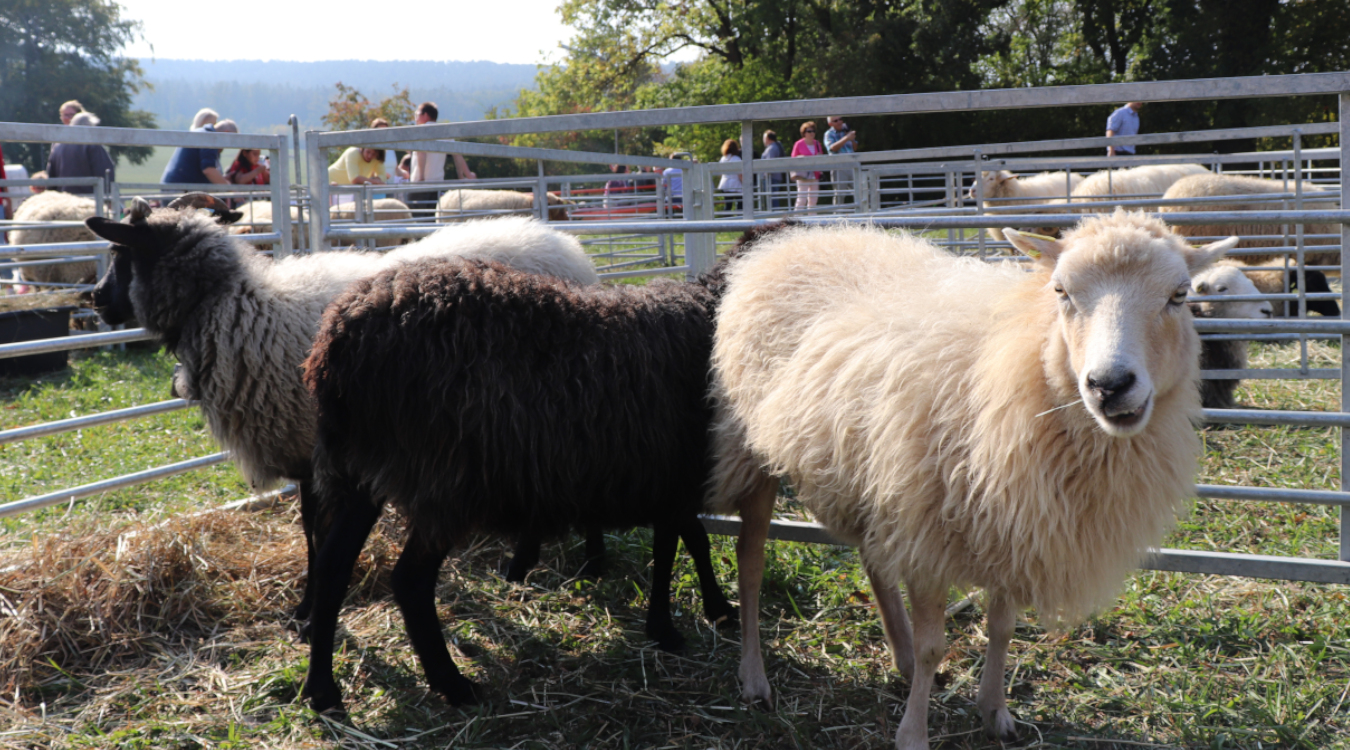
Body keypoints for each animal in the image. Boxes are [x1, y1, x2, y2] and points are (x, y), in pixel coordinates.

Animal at [82, 195, 602, 630]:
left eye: (119, 253)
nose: (95, 300)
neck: (230, 306)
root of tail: (567, 247)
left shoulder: (318, 452)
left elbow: (317, 535)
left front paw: (308, 610)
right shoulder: (303, 455)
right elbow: (310, 531)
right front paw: (305, 607)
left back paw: (586, 568)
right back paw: (522, 568)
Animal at [293, 227, 776, 713]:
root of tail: (335, 343)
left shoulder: (664, 476)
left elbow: (686, 540)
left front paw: (702, 613)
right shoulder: (674, 473)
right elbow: (677, 546)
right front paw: (678, 623)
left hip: (357, 473)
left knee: (334, 567)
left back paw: (322, 689)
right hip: (444, 481)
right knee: (409, 580)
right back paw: (453, 684)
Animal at [707, 211, 1236, 750]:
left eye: (1179, 295)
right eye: (1061, 291)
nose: (1109, 385)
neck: (1021, 362)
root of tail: (797, 237)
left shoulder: (1012, 526)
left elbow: (1001, 628)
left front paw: (995, 711)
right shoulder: (927, 527)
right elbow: (932, 646)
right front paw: (914, 733)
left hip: (871, 476)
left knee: (874, 562)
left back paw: (896, 655)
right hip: (757, 455)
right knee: (751, 565)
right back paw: (754, 677)